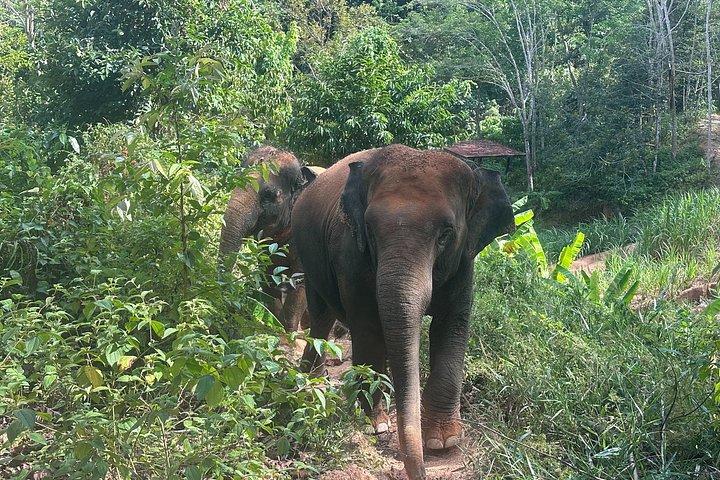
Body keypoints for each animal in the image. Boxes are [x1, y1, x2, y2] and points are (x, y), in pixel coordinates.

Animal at [290, 144, 514, 480]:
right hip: (307, 253)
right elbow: (368, 325)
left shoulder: (464, 262)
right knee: (321, 316)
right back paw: (312, 380)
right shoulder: (350, 253)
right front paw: (376, 426)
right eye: (370, 230)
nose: (419, 471)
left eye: (445, 234)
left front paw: (442, 442)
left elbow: (452, 326)